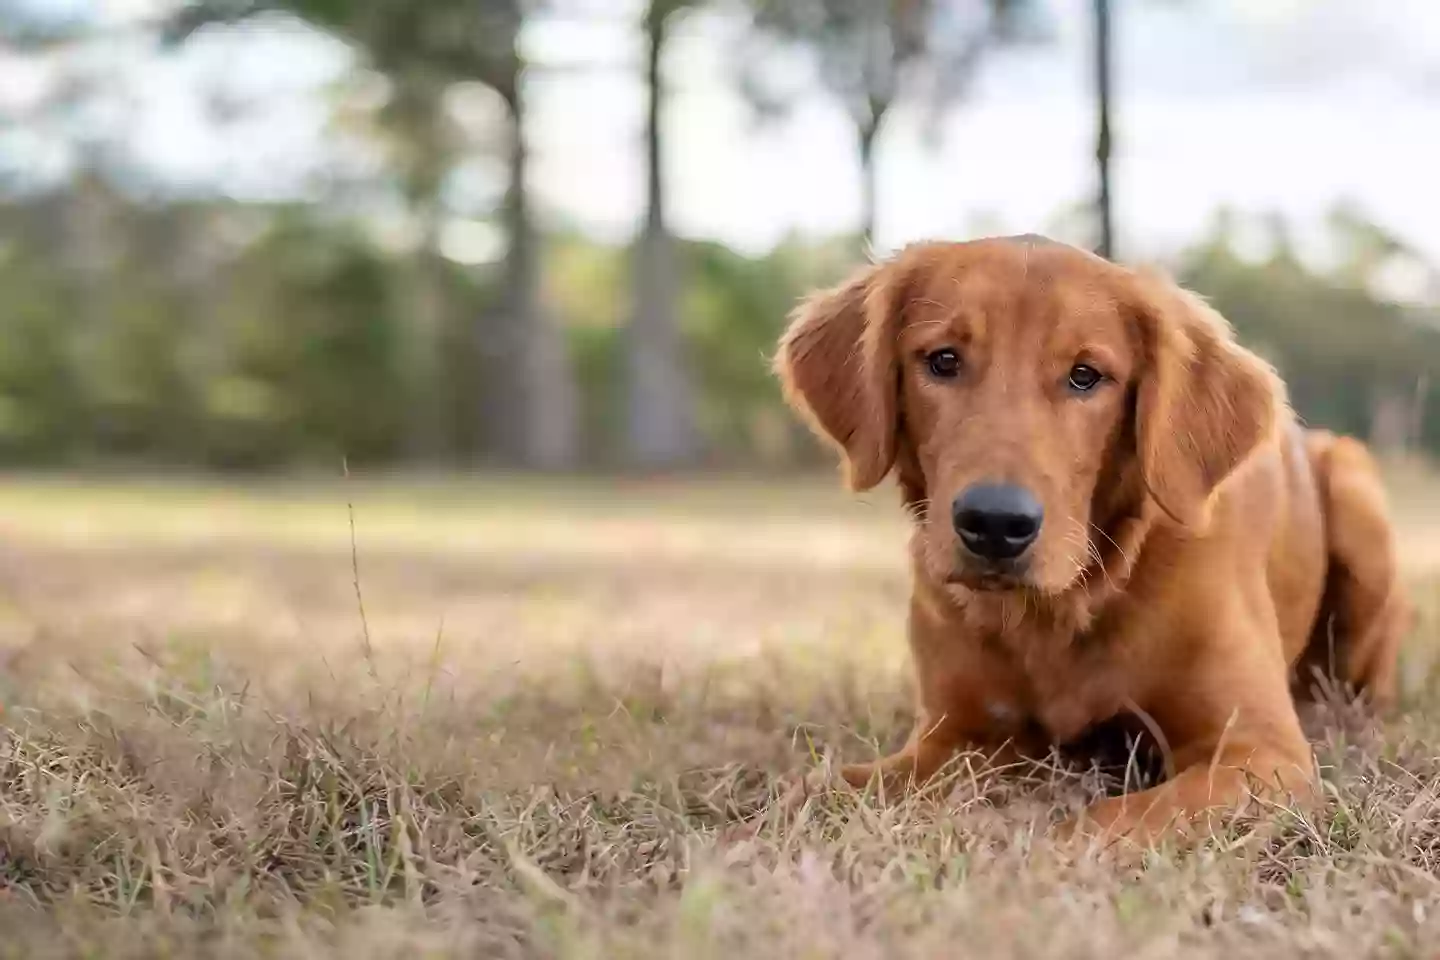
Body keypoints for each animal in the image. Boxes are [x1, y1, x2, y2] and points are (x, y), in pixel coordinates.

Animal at [771, 236, 1411, 846]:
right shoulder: (960, 735)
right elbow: (828, 785)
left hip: (1356, 491)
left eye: (1085, 375)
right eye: (943, 360)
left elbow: (1116, 819)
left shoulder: (1261, 750)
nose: (995, 524)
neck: (1064, 607)